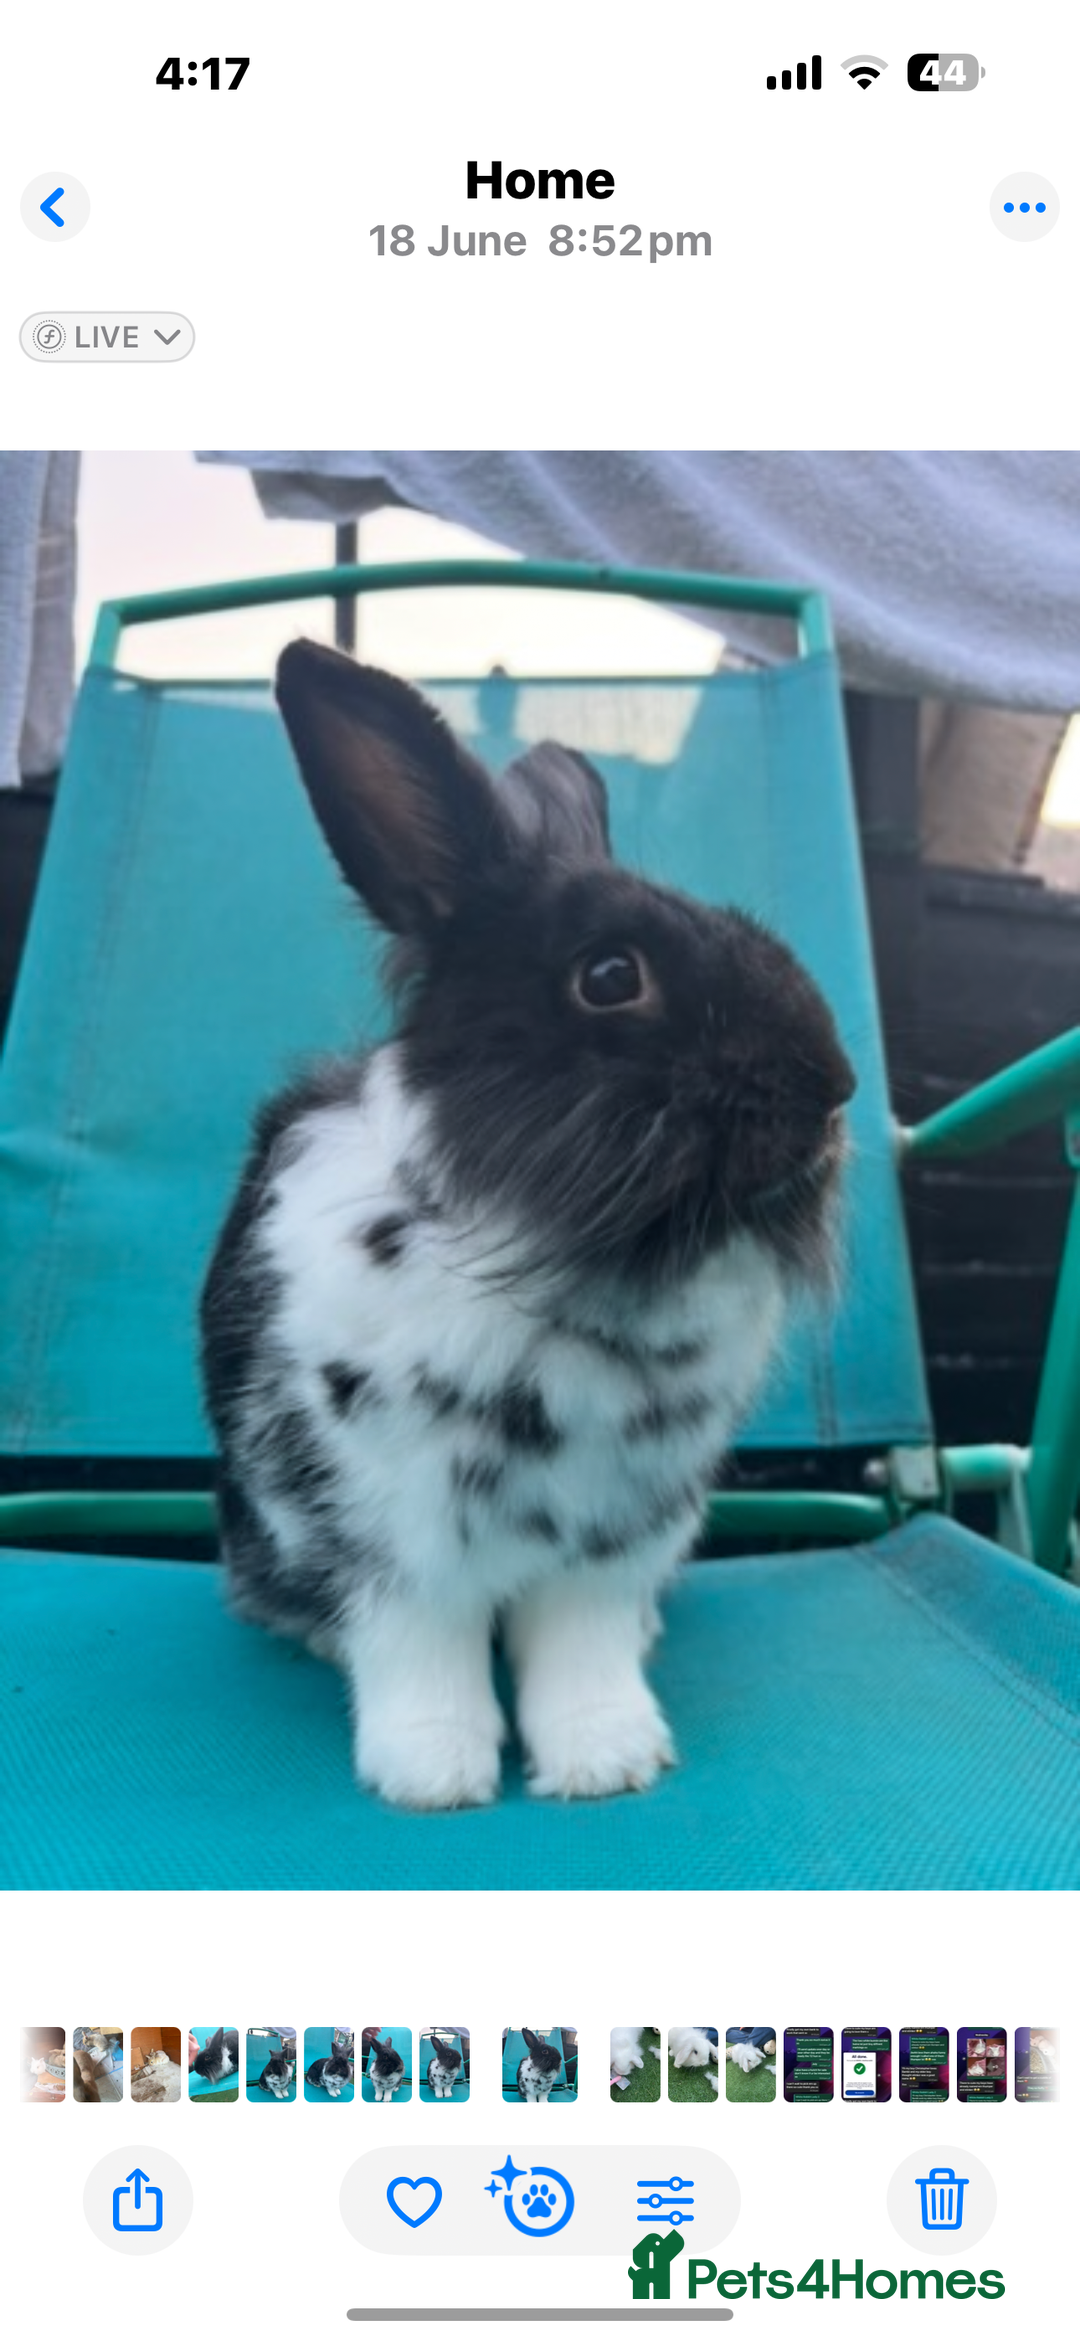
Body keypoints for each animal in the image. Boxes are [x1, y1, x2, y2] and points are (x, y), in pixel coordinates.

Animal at [201, 643, 854, 1812]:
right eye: (610, 975)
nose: (834, 1092)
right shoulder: (382, 1532)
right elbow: (418, 1652)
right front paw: (434, 1776)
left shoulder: (616, 1535)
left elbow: (582, 1649)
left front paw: (606, 1762)